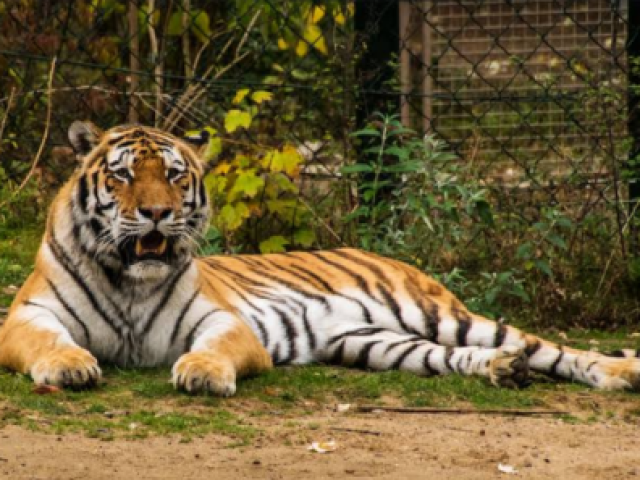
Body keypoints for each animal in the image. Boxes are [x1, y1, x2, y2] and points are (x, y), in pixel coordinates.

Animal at [0, 121, 636, 398]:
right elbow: (50, 342)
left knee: (549, 347)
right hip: (376, 342)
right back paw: (502, 370)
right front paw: (69, 366)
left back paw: (617, 374)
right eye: (125, 175)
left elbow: (215, 348)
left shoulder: (223, 320)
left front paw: (201, 373)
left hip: (441, 315)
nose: (157, 213)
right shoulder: (25, 318)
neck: (130, 280)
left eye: (176, 176)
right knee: (458, 357)